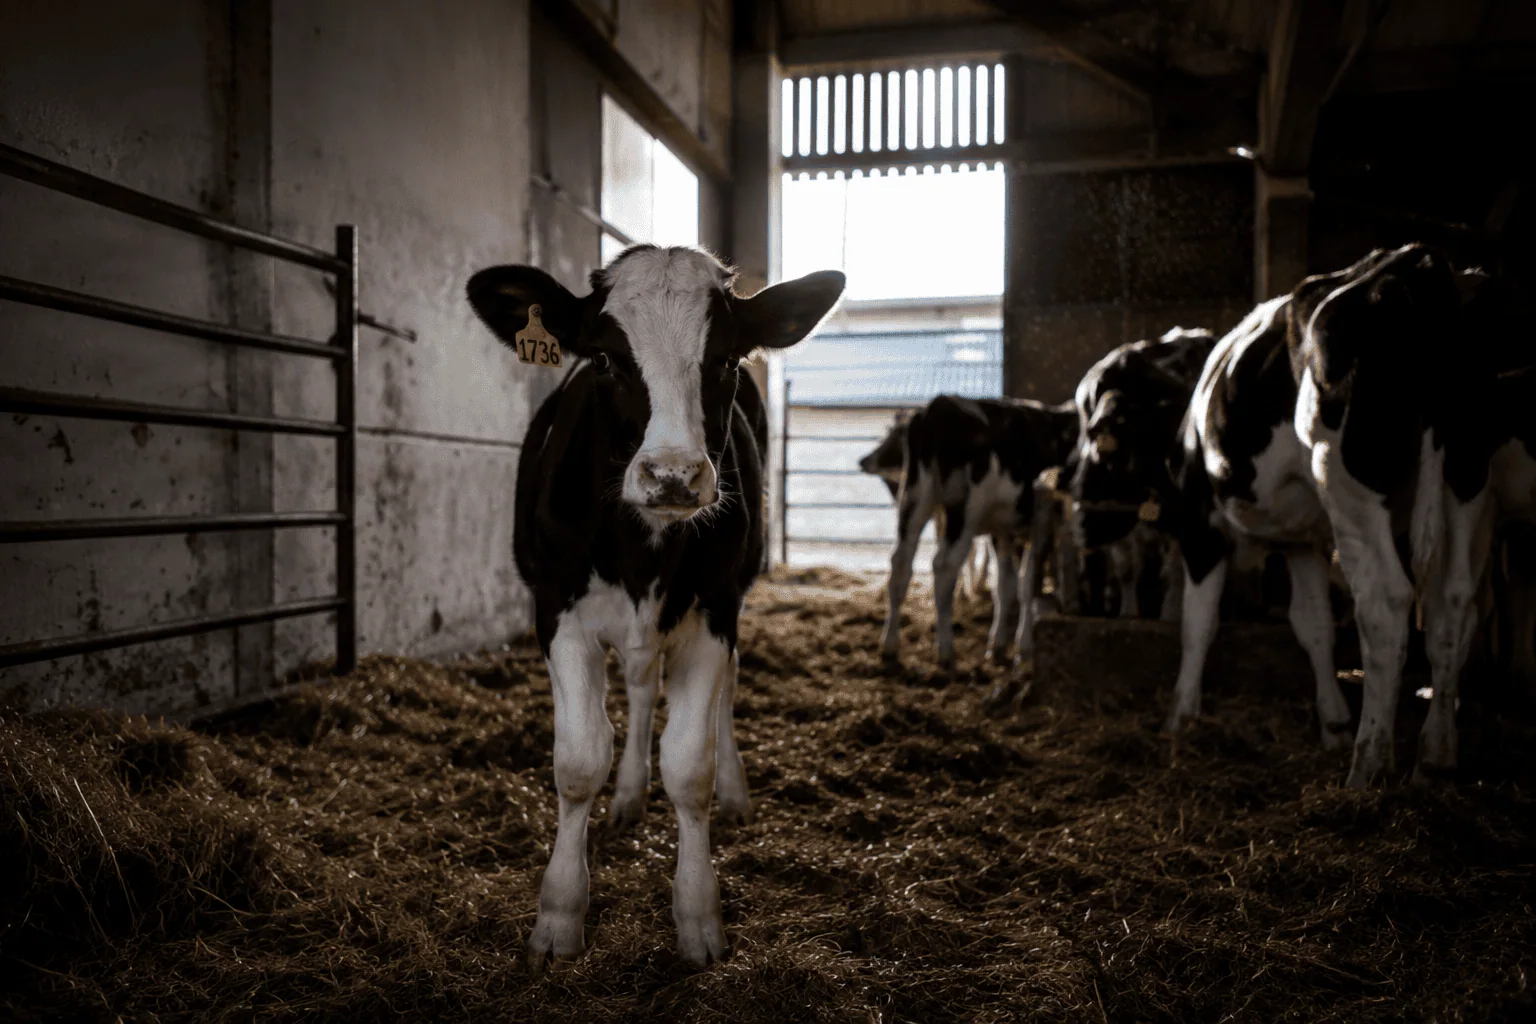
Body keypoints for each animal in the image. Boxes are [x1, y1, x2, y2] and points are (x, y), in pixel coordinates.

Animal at [467, 245, 844, 966]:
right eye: (604, 358)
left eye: (726, 360)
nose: (673, 476)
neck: (644, 548)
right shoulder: (556, 611)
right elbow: (579, 761)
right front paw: (559, 913)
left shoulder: (716, 612)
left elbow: (689, 765)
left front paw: (698, 915)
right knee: (641, 689)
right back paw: (628, 796)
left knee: (718, 695)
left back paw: (733, 792)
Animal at [873, 395, 1079, 670]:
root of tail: (940, 405)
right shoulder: (1039, 521)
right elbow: (1027, 585)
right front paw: (1024, 648)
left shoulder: (1001, 530)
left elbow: (1004, 586)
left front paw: (998, 645)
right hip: (964, 509)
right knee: (944, 567)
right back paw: (946, 651)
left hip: (914, 499)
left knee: (900, 563)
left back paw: (889, 646)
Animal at [1068, 327, 1218, 621]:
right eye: (1086, 438)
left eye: (1106, 453)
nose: (1079, 523)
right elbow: (1127, 567)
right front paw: (1128, 611)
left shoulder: (1182, 511)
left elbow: (1175, 567)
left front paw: (1171, 612)